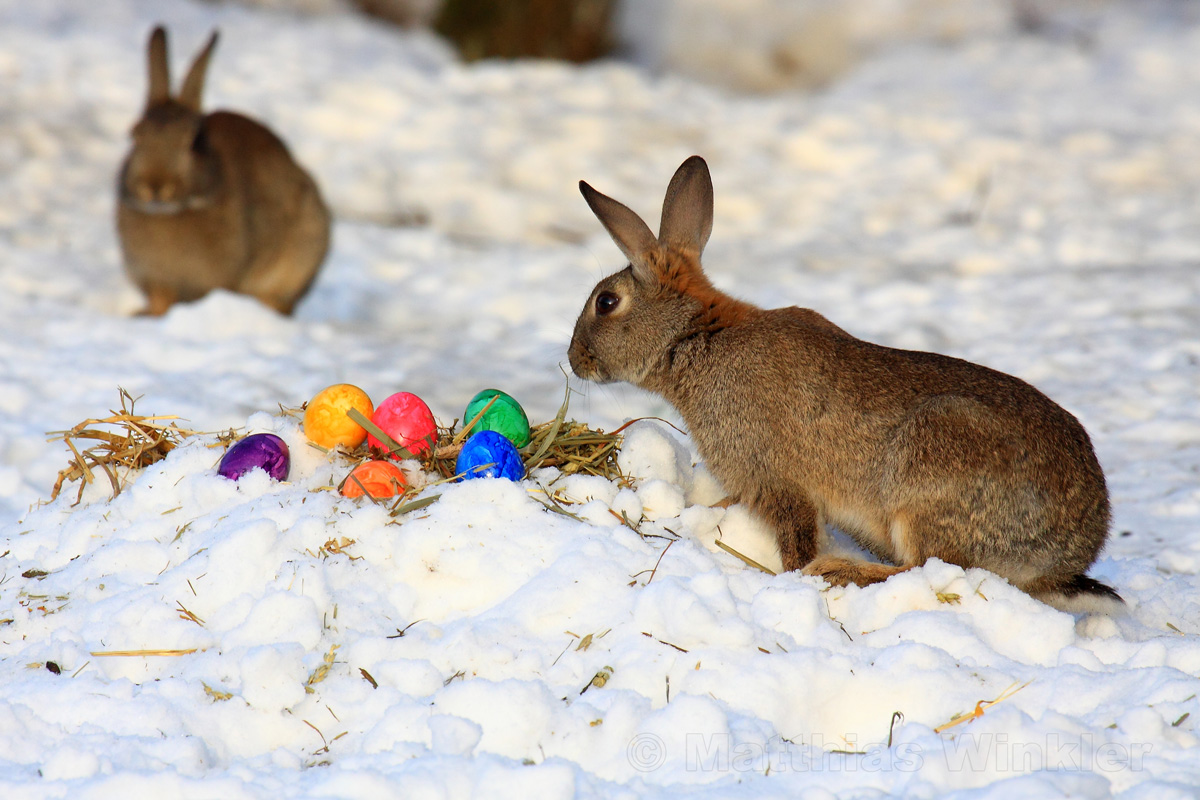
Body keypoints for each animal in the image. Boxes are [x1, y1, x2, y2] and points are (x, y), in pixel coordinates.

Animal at [115, 25, 331, 314]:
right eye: (135, 135)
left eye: (194, 142)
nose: (155, 186)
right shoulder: (156, 279)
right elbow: (162, 299)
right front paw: (149, 315)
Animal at [566, 154, 1118, 614]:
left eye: (606, 302)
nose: (574, 360)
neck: (697, 335)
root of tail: (1064, 558)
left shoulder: (773, 478)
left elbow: (795, 538)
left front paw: (793, 575)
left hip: (929, 474)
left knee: (926, 569)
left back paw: (837, 571)